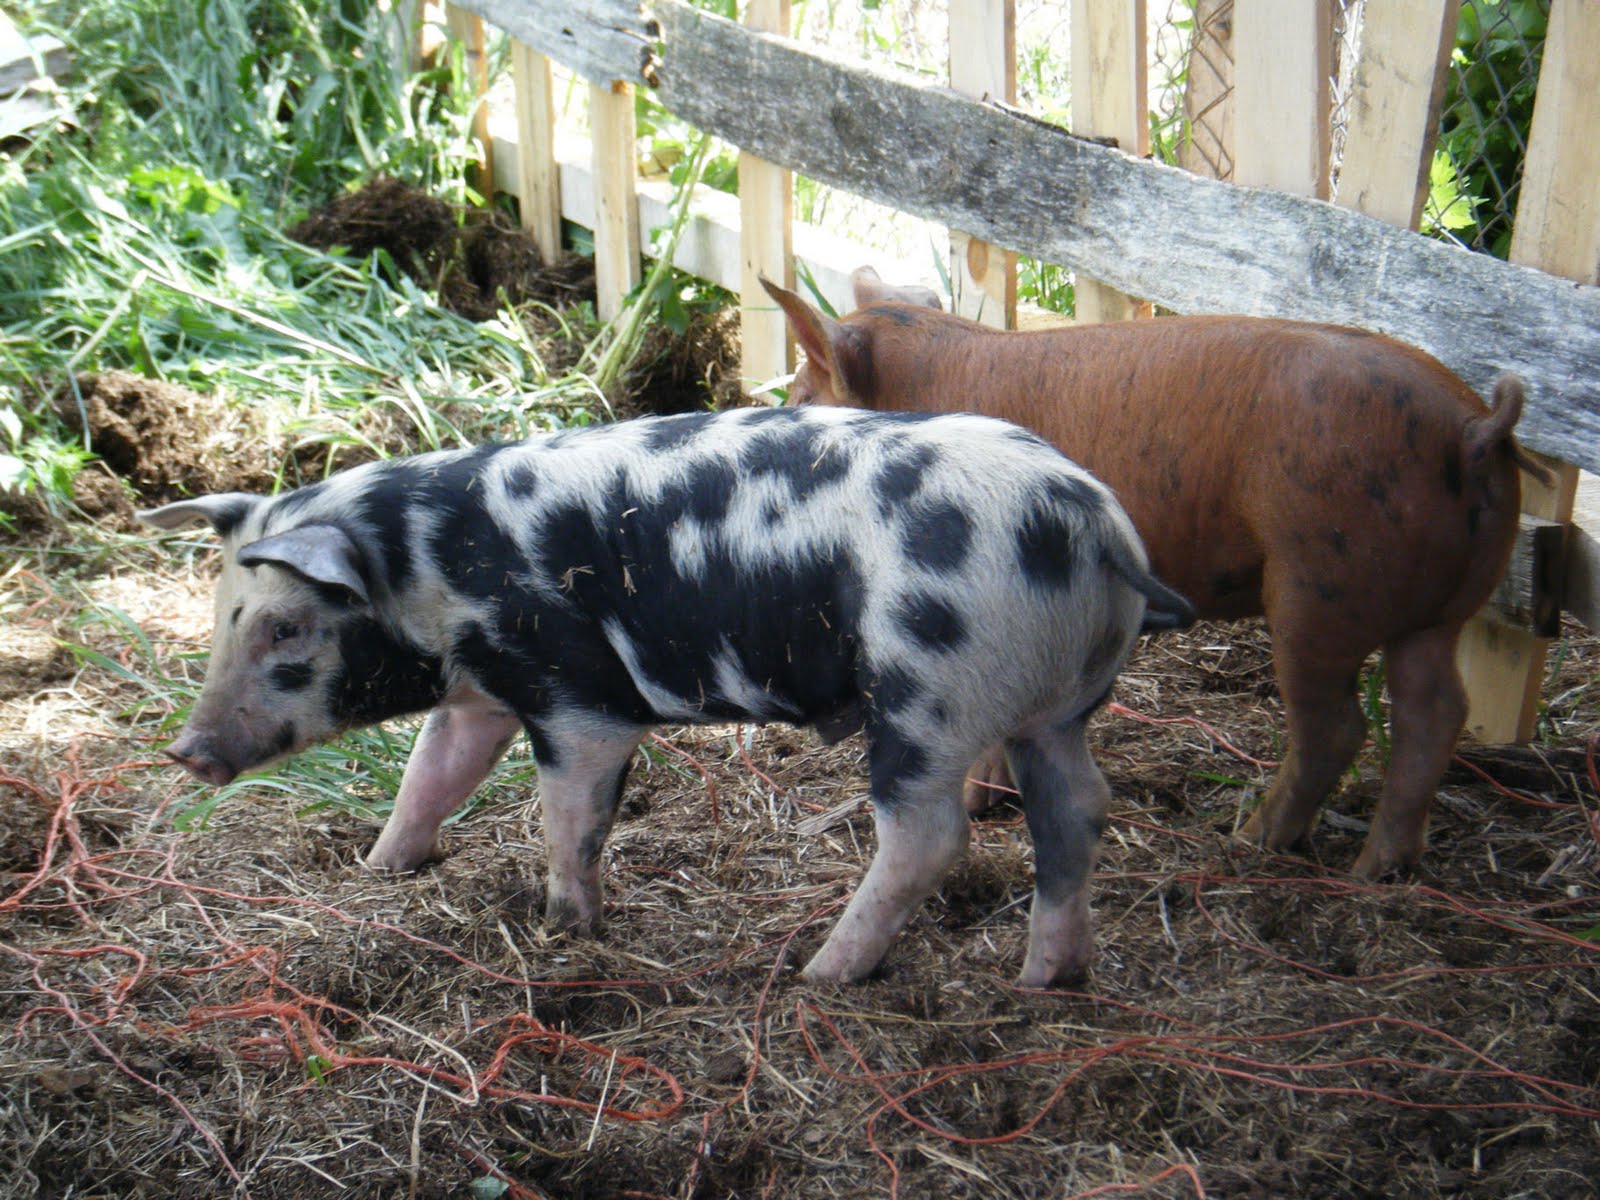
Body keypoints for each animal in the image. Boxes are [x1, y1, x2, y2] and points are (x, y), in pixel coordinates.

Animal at [140, 405, 1194, 986]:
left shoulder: (574, 697)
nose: (186, 753)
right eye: (224, 612)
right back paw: (1047, 980)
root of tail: (1092, 526)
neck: (425, 565)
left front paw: (567, 928)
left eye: (285, 628)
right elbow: (429, 780)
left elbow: (567, 817)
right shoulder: (481, 692)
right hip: (1056, 705)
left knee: (930, 837)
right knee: (1076, 810)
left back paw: (816, 974)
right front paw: (379, 869)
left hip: (929, 693)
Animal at [763, 268, 1538, 880]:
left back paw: (1252, 841)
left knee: (1337, 727)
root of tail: (1472, 431)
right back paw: (1377, 871)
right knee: (1435, 712)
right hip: (1439, 609)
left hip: (1319, 587)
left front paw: (980, 803)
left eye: (802, 397)